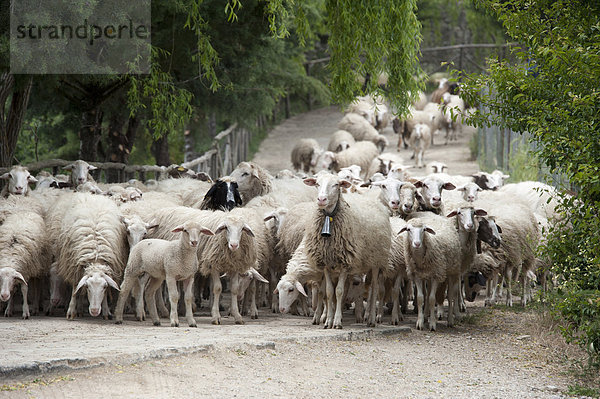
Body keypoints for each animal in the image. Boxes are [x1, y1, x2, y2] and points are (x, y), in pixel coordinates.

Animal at [49, 192, 127, 320]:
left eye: (104, 287)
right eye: (88, 287)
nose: (94, 311)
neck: (95, 257)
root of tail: (91, 195)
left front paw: (106, 311)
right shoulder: (74, 266)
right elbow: (75, 288)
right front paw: (71, 311)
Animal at [302, 172, 392, 328]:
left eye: (336, 185)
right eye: (317, 184)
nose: (321, 199)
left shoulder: (345, 262)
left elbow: (339, 291)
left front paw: (337, 321)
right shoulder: (326, 264)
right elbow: (329, 292)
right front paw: (328, 321)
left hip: (377, 260)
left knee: (374, 289)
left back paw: (371, 319)